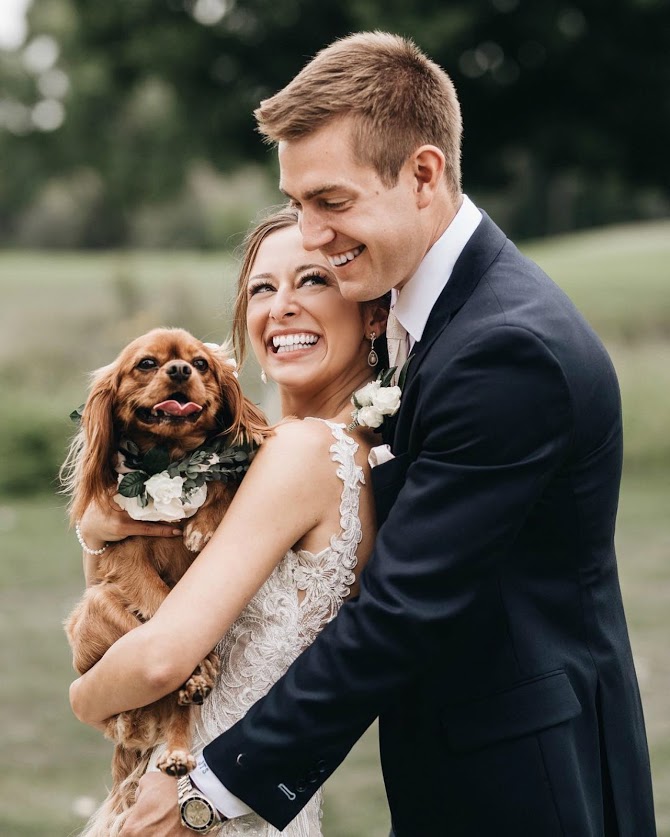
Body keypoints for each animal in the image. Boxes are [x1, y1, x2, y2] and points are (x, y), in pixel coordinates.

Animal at [62, 330, 268, 832]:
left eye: (201, 363)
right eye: (146, 364)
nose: (180, 371)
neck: (171, 461)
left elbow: (220, 488)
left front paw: (202, 524)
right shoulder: (127, 559)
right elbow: (156, 601)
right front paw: (200, 666)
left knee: (180, 708)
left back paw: (177, 749)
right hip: (95, 608)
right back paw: (195, 679)